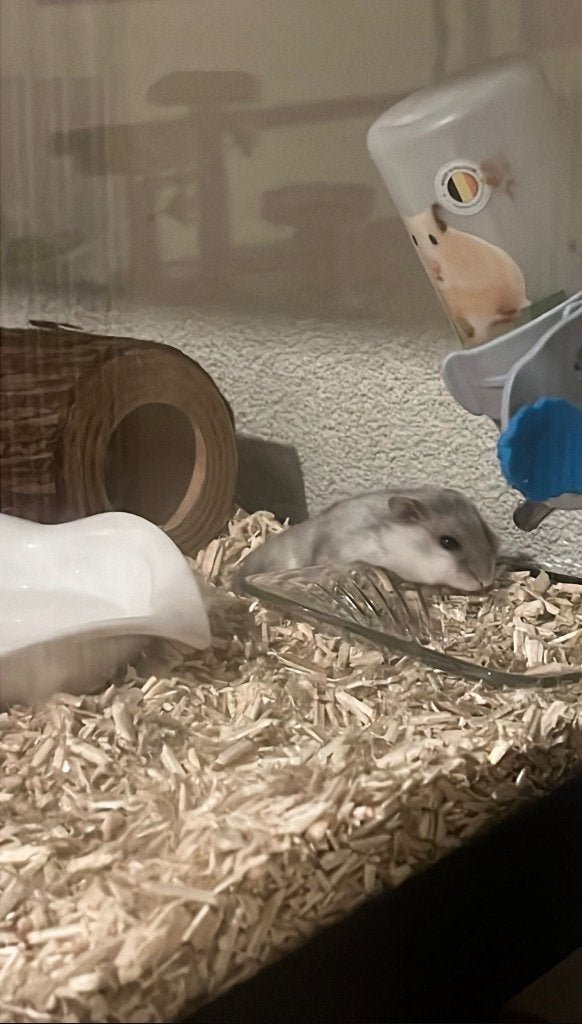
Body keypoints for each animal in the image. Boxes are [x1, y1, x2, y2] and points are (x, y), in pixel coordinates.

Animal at [406, 203, 529, 346]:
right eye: (414, 240)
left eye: (433, 239)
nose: (433, 266)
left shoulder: (459, 272)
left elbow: (449, 279)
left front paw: (437, 272)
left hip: (479, 312)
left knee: (482, 333)